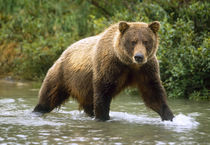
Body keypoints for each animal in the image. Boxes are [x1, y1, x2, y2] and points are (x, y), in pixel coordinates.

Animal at [32, 21, 174, 121]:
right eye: (133, 41)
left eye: (146, 41)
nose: (139, 56)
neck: (127, 62)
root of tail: (64, 51)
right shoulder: (108, 66)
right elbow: (103, 92)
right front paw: (103, 117)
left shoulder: (145, 69)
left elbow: (153, 93)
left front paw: (169, 116)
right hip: (62, 75)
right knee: (49, 96)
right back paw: (37, 110)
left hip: (83, 87)